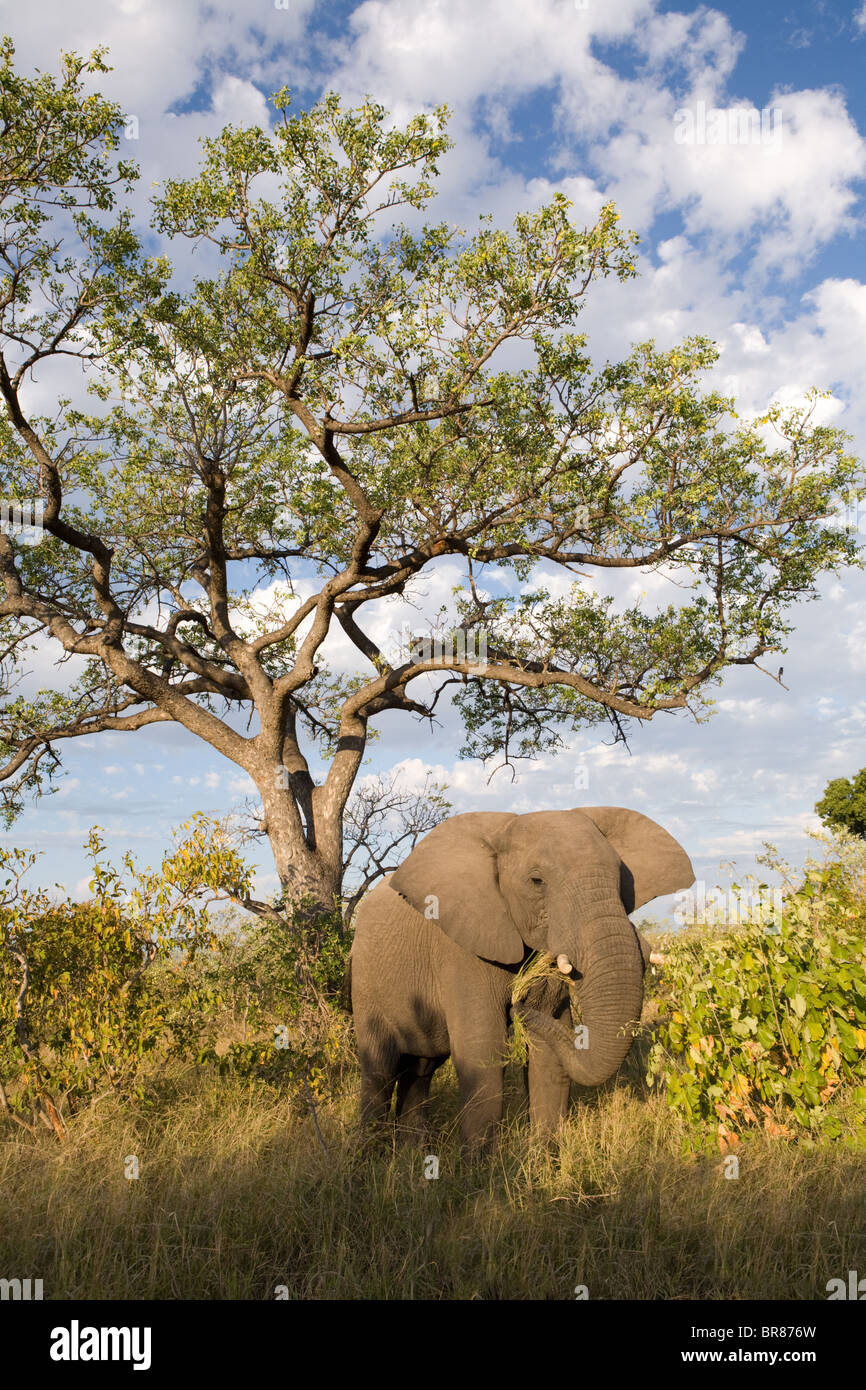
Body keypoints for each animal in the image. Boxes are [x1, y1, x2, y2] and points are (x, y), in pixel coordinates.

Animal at [349, 805, 694, 1147]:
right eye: (536, 881)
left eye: (622, 879)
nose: (517, 1005)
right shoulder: (460, 947)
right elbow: (483, 1049)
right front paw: (481, 1162)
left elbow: (547, 1054)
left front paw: (544, 1157)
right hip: (365, 980)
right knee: (380, 1069)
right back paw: (372, 1150)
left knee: (421, 1068)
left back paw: (413, 1148)